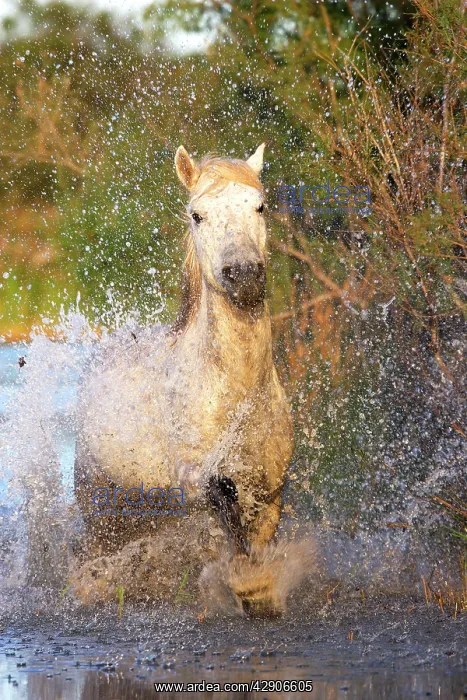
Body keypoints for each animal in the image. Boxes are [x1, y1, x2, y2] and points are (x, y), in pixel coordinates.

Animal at [70, 144, 296, 615]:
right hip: (99, 510)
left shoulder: (271, 491)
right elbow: (222, 495)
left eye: (259, 205)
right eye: (197, 215)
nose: (243, 274)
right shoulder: (193, 475)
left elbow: (259, 540)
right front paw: (245, 583)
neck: (235, 394)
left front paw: (259, 590)